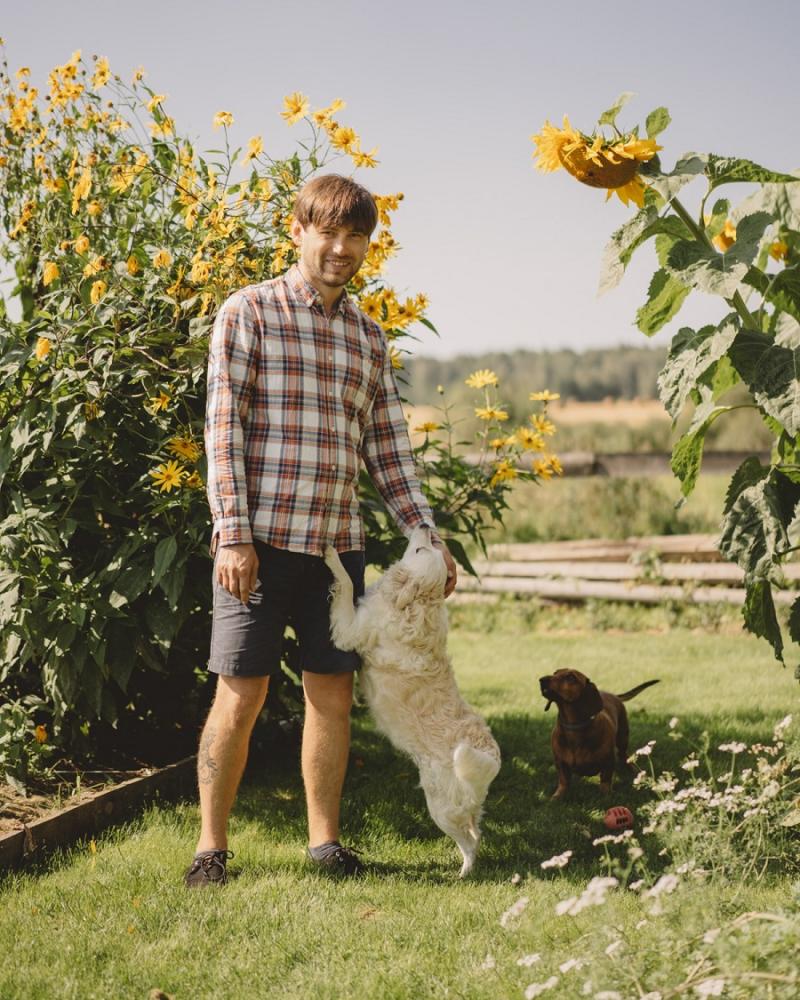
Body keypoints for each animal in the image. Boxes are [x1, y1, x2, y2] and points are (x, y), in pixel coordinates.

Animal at [324, 525, 501, 877]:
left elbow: (346, 583)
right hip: (463, 806)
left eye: (420, 551)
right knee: (477, 831)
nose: (426, 528)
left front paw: (331, 555)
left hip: (441, 809)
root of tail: (491, 757)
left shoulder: (350, 630)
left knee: (469, 842)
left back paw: (463, 873)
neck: (414, 605)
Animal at [539, 669, 659, 799]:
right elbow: (563, 781)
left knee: (624, 756)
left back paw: (633, 771)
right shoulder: (560, 762)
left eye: (571, 677)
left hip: (623, 738)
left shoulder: (608, 760)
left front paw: (606, 795)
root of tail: (613, 695)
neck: (574, 728)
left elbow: (605, 780)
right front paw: (557, 796)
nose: (542, 680)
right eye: (555, 673)